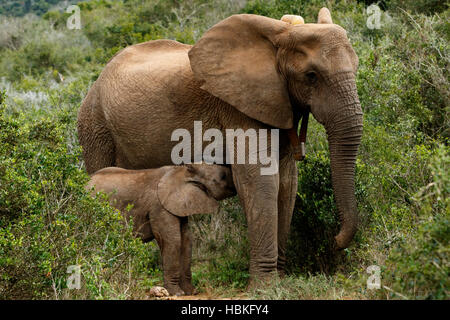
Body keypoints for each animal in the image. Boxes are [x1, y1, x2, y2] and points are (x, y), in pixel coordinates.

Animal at [86, 164, 237, 296]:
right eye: (223, 176)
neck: (182, 170)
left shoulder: (177, 206)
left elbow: (186, 240)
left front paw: (192, 292)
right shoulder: (159, 206)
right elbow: (173, 240)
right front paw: (177, 293)